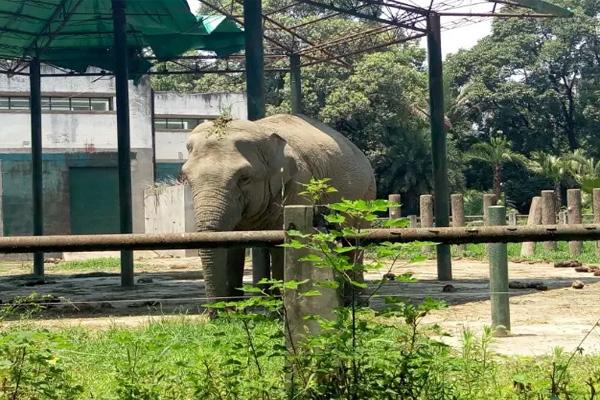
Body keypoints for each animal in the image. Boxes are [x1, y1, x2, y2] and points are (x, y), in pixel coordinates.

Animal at [182, 113, 376, 300]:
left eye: (244, 178)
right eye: (186, 178)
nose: (214, 311)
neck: (262, 131)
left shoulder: (298, 185)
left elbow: (285, 243)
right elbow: (230, 244)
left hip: (365, 196)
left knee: (353, 241)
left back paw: (356, 301)